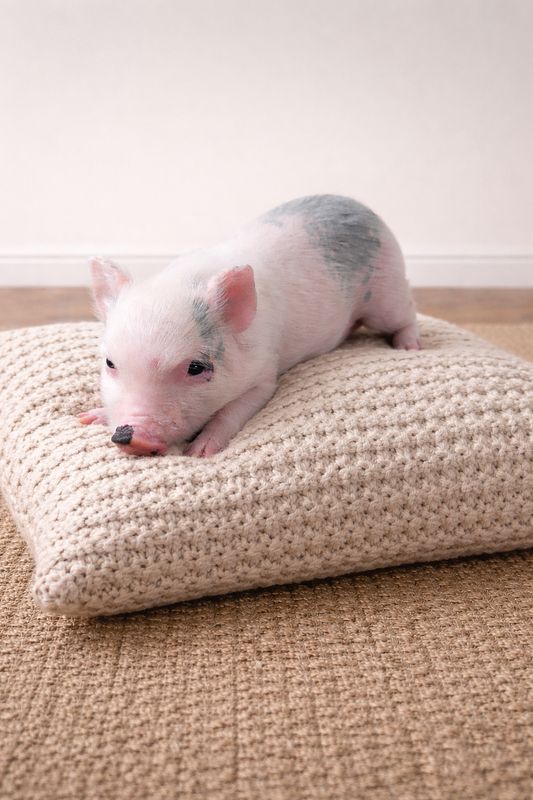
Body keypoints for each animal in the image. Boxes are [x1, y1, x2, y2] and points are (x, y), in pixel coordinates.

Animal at [79, 194, 420, 457]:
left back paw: (409, 347)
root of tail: (357, 204)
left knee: (407, 311)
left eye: (195, 368)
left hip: (386, 293)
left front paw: (200, 452)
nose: (131, 438)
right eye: (110, 363)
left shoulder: (264, 373)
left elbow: (234, 410)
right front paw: (88, 417)